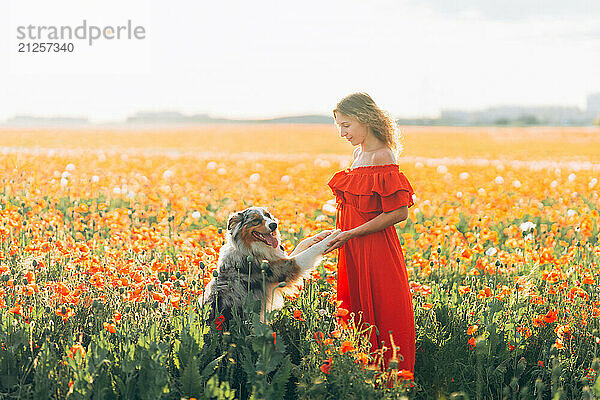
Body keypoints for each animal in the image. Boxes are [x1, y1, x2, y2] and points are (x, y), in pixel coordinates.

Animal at [202, 206, 340, 322]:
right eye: (256, 220)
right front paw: (332, 237)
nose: (274, 225)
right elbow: (313, 250)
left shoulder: (281, 259)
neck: (251, 249)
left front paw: (323, 234)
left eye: (268, 215)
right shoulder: (287, 268)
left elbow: (303, 243)